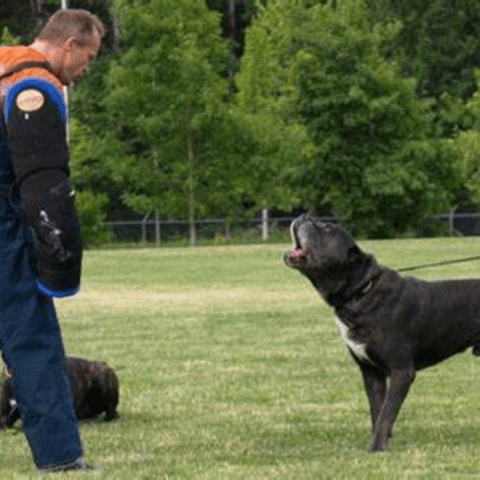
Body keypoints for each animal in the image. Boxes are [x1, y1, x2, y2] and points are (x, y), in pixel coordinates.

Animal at [284, 216, 480, 452]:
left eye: (325, 228)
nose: (303, 216)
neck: (360, 291)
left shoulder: (401, 371)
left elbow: (387, 412)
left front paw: (377, 447)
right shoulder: (371, 372)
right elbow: (377, 411)